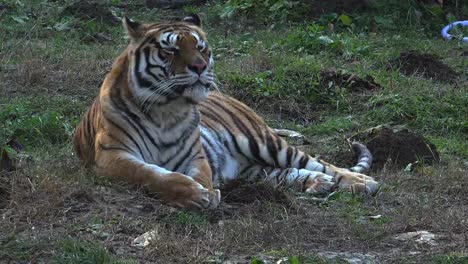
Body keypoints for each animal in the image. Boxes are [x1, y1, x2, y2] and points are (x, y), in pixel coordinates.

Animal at [73, 14, 380, 209]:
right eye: (171, 49)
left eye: (200, 47)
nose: (199, 67)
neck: (167, 110)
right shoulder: (112, 156)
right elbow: (152, 175)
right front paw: (194, 195)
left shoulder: (196, 155)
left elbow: (200, 174)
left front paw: (206, 192)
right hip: (253, 169)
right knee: (285, 173)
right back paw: (318, 183)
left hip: (263, 141)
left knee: (320, 162)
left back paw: (360, 182)